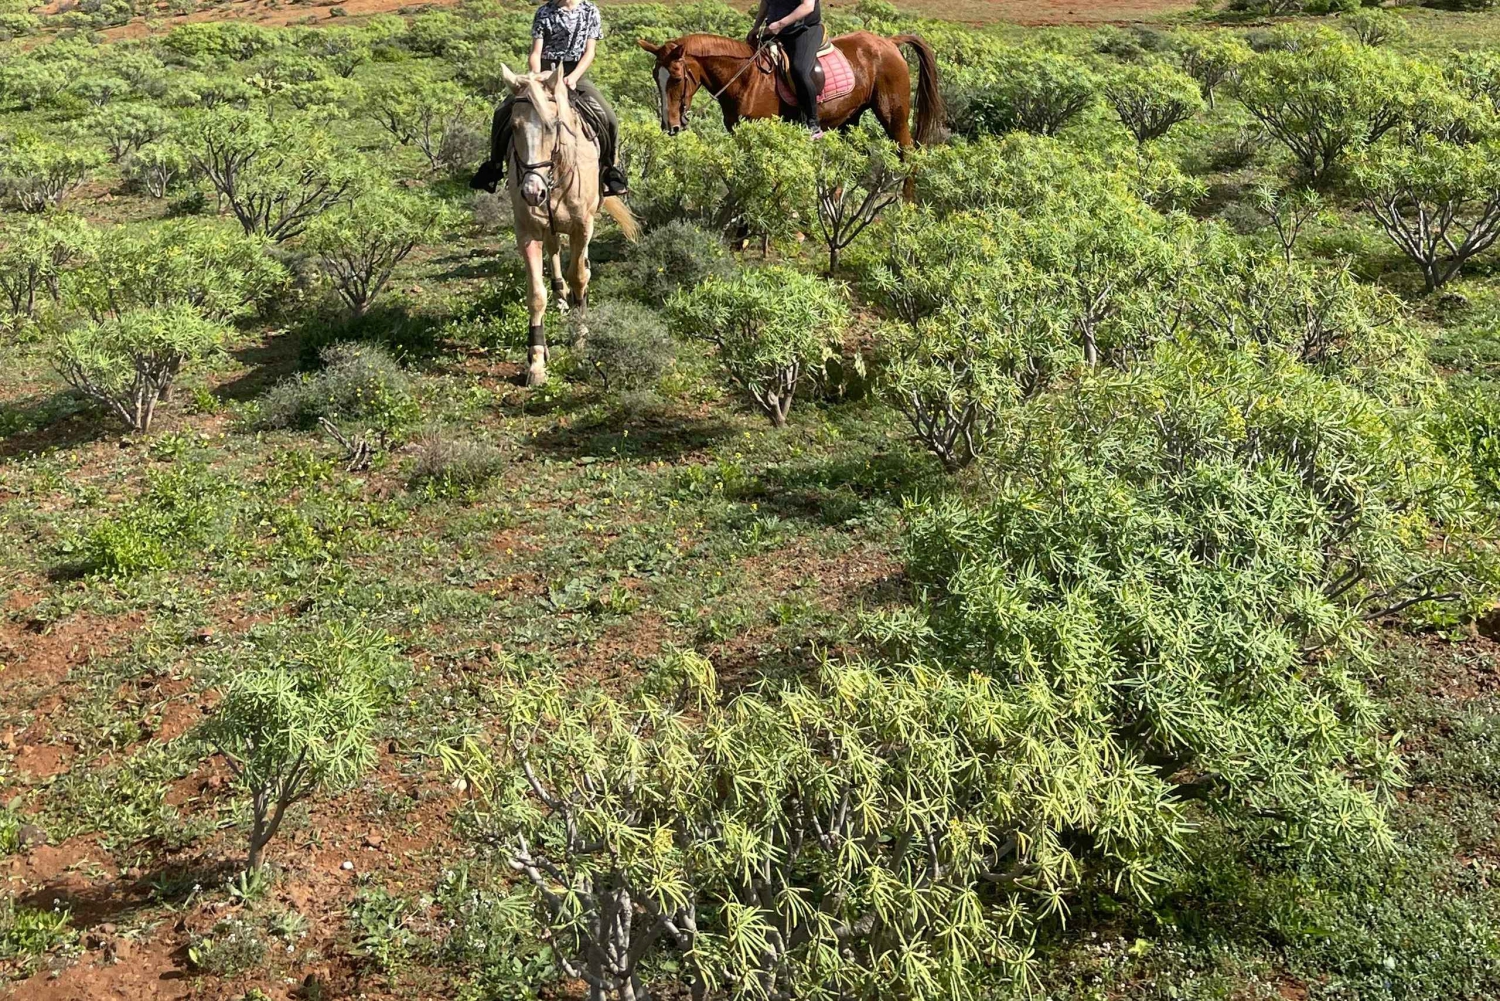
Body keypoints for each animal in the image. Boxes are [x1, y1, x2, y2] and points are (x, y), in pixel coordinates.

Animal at [497, 63, 638, 387]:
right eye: (514, 127)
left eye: (552, 125)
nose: (531, 192)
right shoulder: (527, 231)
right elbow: (536, 294)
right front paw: (537, 361)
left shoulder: (582, 226)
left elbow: (579, 277)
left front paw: (580, 337)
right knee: (554, 252)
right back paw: (561, 297)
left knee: (578, 263)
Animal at [636, 31, 944, 150]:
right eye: (655, 76)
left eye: (676, 78)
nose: (670, 126)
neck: (746, 78)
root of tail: (890, 43)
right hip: (849, 119)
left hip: (894, 117)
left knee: (908, 155)